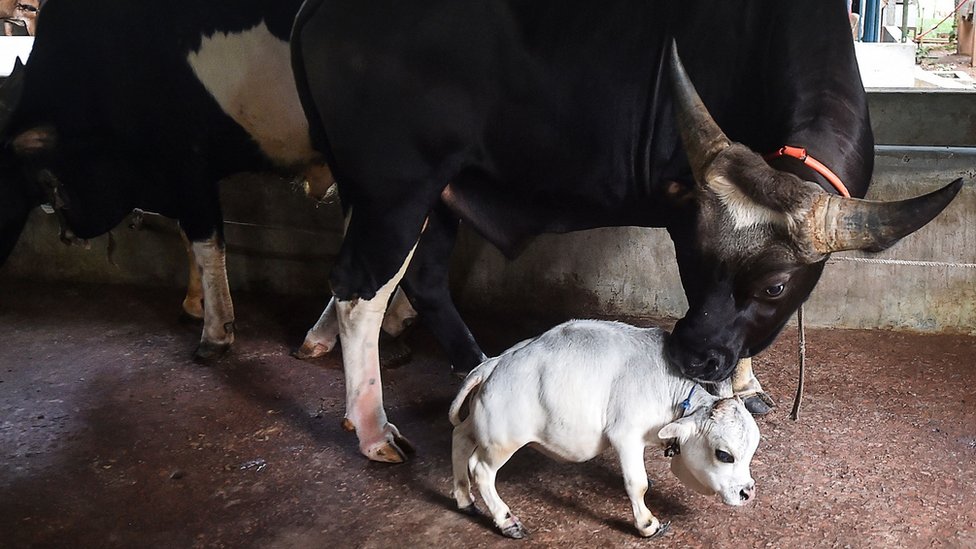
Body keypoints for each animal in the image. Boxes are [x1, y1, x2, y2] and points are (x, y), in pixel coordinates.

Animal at [291, 0, 963, 462]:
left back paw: (473, 364)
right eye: (691, 261)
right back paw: (373, 427)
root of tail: (321, 8)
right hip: (397, 190)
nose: (690, 355)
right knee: (360, 290)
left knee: (423, 280)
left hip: (438, 194)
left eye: (775, 286)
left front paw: (746, 381)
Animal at [449, 319, 760, 539]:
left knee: (460, 438)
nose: (748, 493)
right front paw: (647, 524)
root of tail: (493, 364)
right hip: (502, 440)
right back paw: (506, 521)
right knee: (481, 470)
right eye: (724, 455)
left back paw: (464, 499)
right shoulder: (626, 435)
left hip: (479, 425)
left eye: (750, 453)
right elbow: (637, 483)